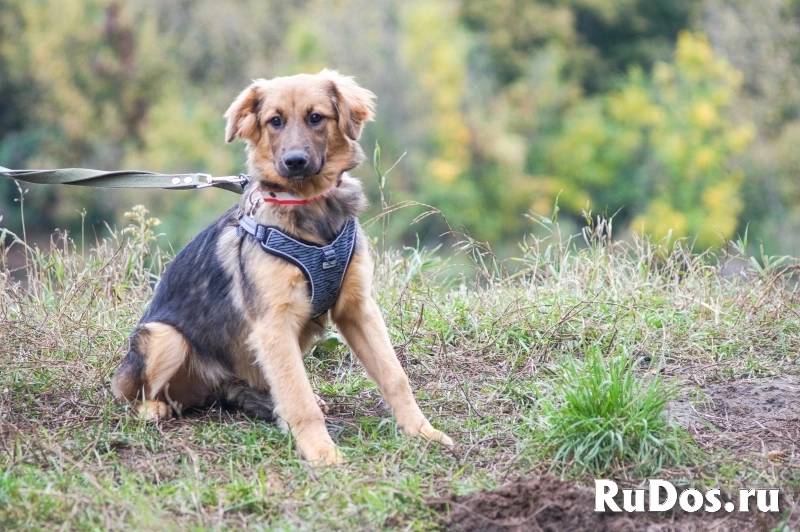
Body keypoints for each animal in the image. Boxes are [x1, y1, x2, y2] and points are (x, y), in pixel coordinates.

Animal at [109, 71, 454, 466]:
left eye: (316, 117)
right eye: (274, 121)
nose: (294, 162)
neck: (310, 208)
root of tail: (220, 383)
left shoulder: (357, 308)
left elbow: (394, 376)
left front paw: (423, 432)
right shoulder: (274, 323)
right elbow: (298, 399)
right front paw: (322, 453)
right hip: (164, 337)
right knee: (134, 396)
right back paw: (153, 409)